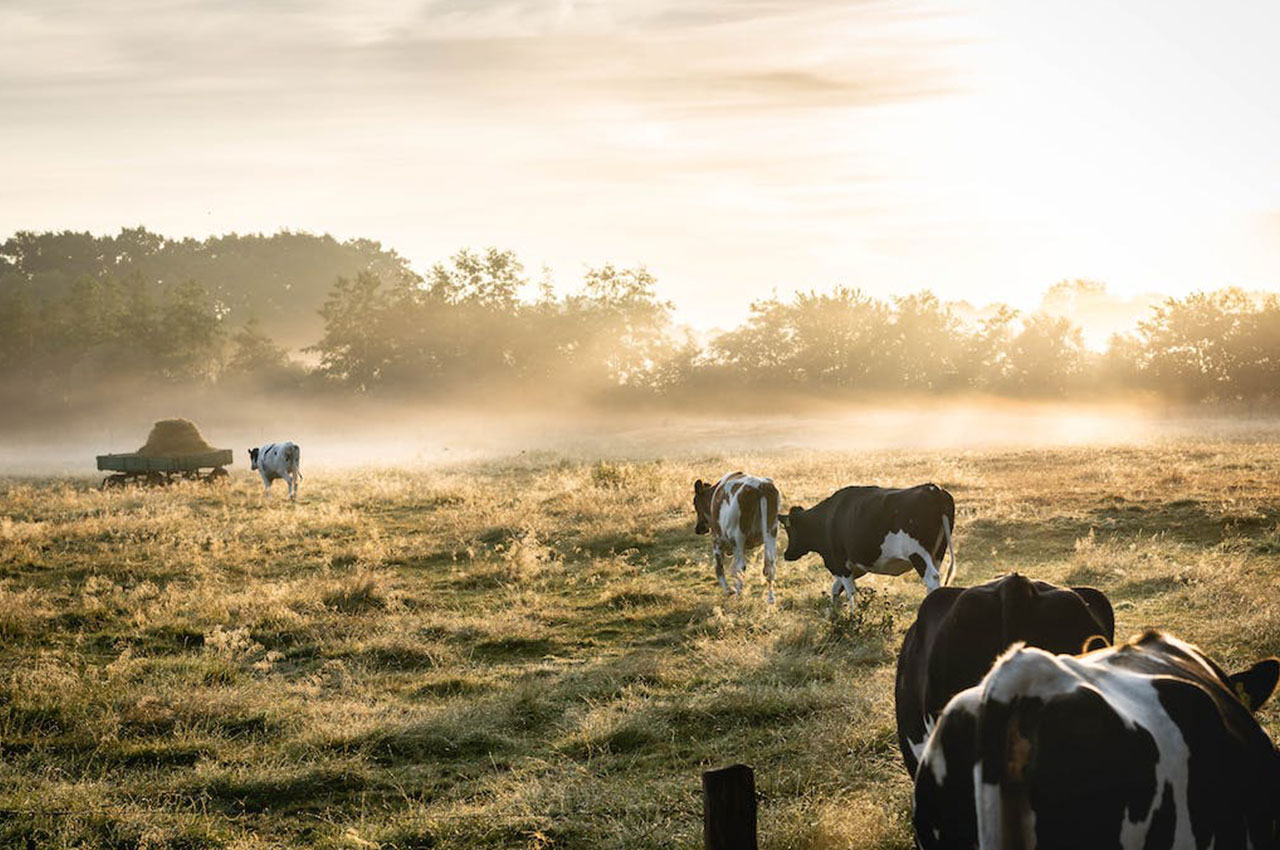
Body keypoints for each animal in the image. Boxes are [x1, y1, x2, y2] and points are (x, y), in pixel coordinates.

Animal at [691, 471, 778, 604]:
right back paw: (771, 598)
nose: (698, 528)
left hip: (738, 537)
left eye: (695, 503)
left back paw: (738, 595)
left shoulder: (718, 541)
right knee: (770, 565)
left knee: (741, 567)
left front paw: (728, 591)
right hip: (771, 533)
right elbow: (731, 569)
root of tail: (759, 486)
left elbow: (719, 568)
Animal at [773, 481, 957, 614]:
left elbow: (850, 591)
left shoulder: (839, 563)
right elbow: (836, 588)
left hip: (918, 553)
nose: (787, 554)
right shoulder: (857, 566)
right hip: (937, 553)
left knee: (932, 578)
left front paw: (852, 617)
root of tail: (933, 489)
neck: (828, 518)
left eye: (789, 529)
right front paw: (834, 613)